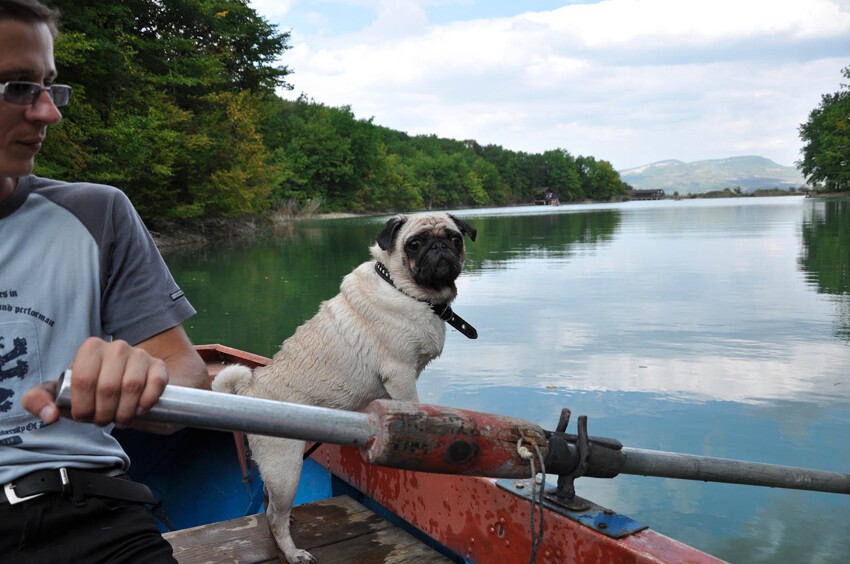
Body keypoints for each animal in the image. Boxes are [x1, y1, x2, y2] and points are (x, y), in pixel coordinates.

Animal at [211, 213, 474, 564]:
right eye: (415, 244)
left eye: (454, 238)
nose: (439, 247)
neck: (405, 289)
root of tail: (249, 391)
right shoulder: (400, 374)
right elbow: (412, 404)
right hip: (286, 468)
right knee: (274, 516)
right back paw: (292, 552)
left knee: (268, 502)